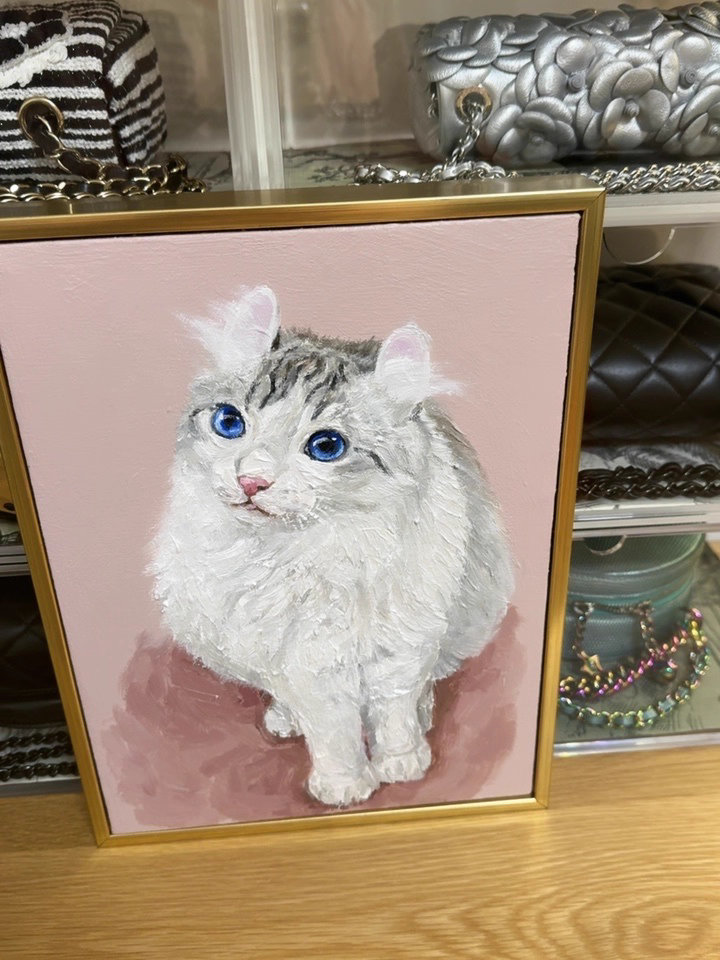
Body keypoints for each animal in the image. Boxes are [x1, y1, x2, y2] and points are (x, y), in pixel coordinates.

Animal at [149, 286, 514, 808]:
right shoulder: (310, 668)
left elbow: (394, 710)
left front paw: (402, 762)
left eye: (326, 447)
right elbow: (333, 731)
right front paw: (346, 787)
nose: (251, 481)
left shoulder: (402, 646)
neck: (305, 554)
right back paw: (285, 719)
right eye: (229, 422)